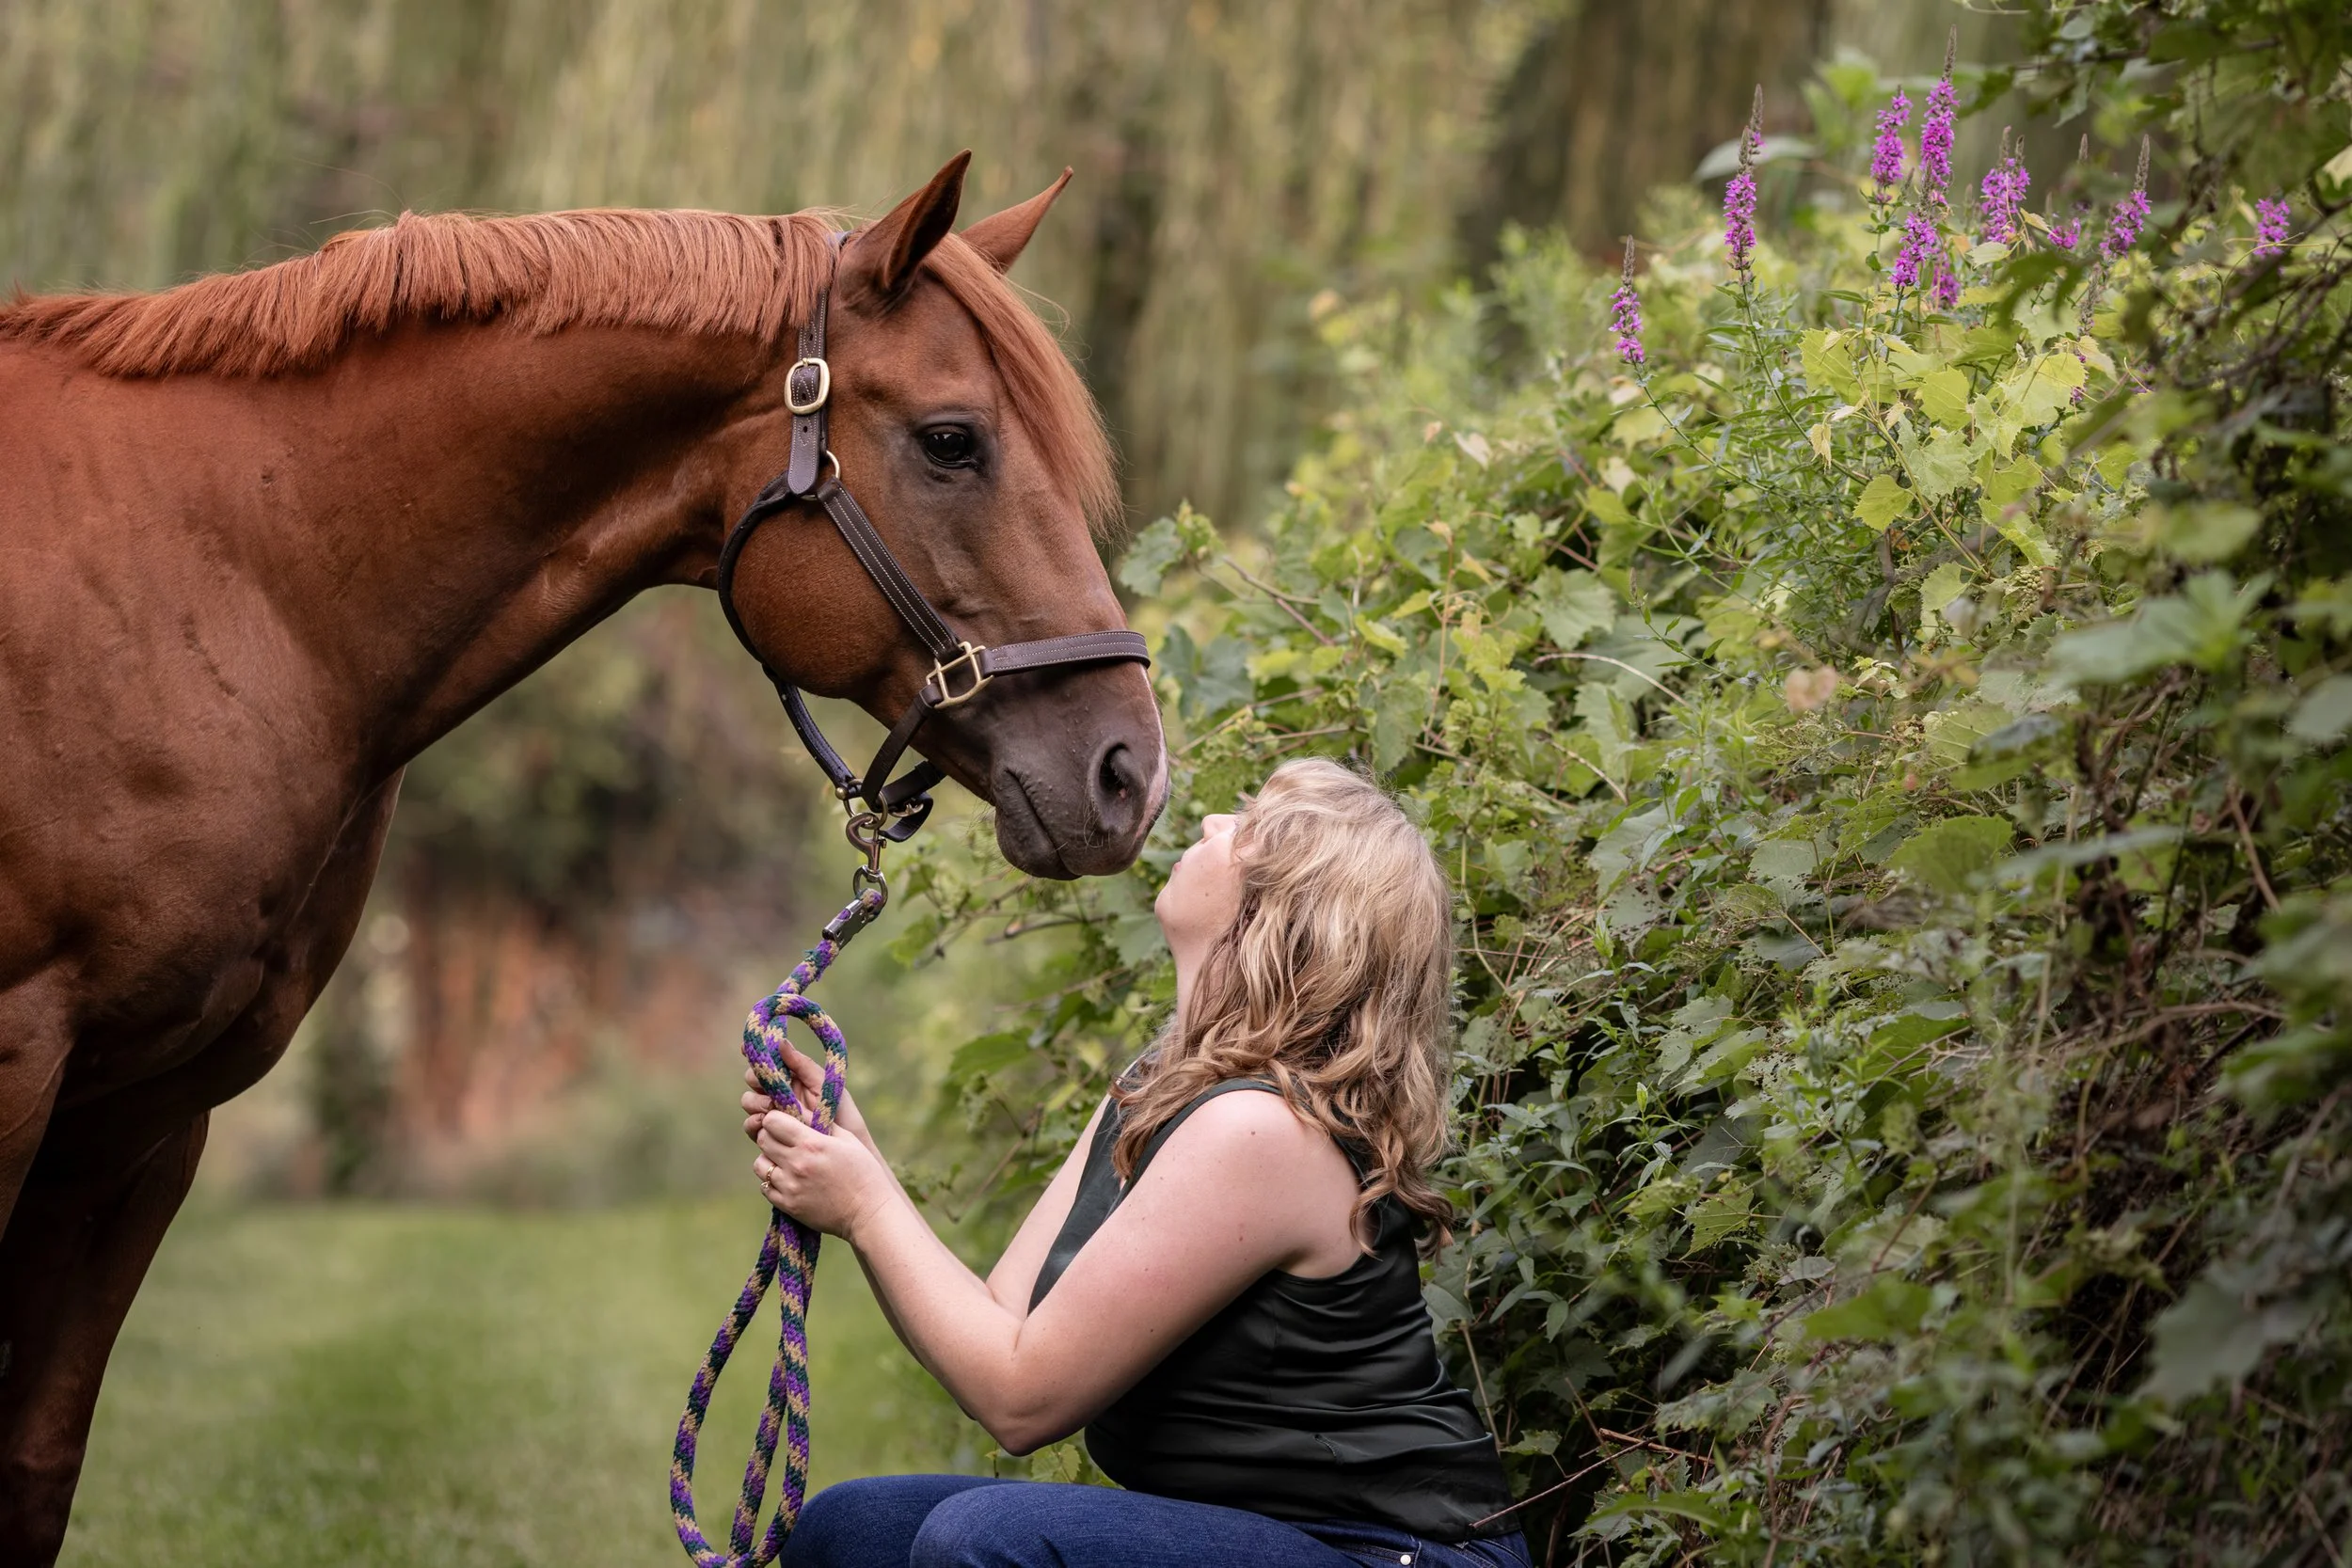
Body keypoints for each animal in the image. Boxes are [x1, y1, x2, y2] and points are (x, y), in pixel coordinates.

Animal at [0, 152, 1167, 1564]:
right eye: (953, 439)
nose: (1128, 769)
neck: (219, 569)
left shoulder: (143, 1120)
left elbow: (33, 1470)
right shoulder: (20, 1067)